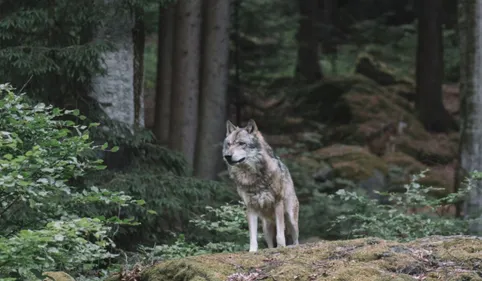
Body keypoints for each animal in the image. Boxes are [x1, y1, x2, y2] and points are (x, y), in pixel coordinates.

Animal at [222, 118, 298, 252]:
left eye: (241, 143)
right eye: (229, 144)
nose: (227, 156)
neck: (253, 177)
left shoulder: (278, 202)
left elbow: (280, 234)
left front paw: (281, 247)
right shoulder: (250, 207)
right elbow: (253, 236)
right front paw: (252, 251)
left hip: (291, 219)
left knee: (296, 240)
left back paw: (293, 246)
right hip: (266, 228)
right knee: (269, 244)